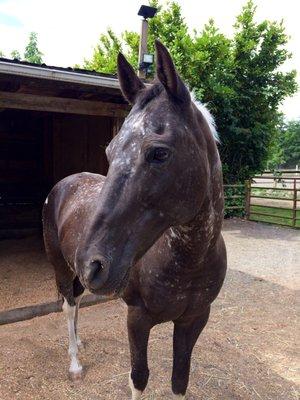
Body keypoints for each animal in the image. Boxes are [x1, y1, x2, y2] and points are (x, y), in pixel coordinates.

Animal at [42, 41, 227, 400]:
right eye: (110, 152)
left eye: (159, 153)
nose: (92, 264)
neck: (188, 261)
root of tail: (64, 184)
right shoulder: (137, 318)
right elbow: (139, 377)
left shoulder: (194, 320)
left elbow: (180, 379)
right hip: (62, 268)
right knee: (69, 306)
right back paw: (75, 363)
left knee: (78, 302)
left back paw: (80, 343)